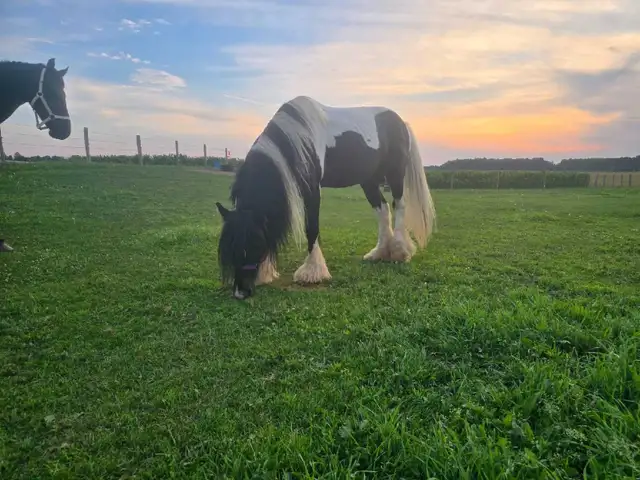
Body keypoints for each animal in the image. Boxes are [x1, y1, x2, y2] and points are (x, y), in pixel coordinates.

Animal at [216, 95, 436, 300]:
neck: (297, 137)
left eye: (253, 244)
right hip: (369, 180)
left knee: (399, 205)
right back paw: (379, 253)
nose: (240, 292)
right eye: (230, 249)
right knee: (382, 209)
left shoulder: (312, 189)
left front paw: (312, 272)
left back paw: (399, 252)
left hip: (395, 174)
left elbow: (311, 228)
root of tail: (401, 123)